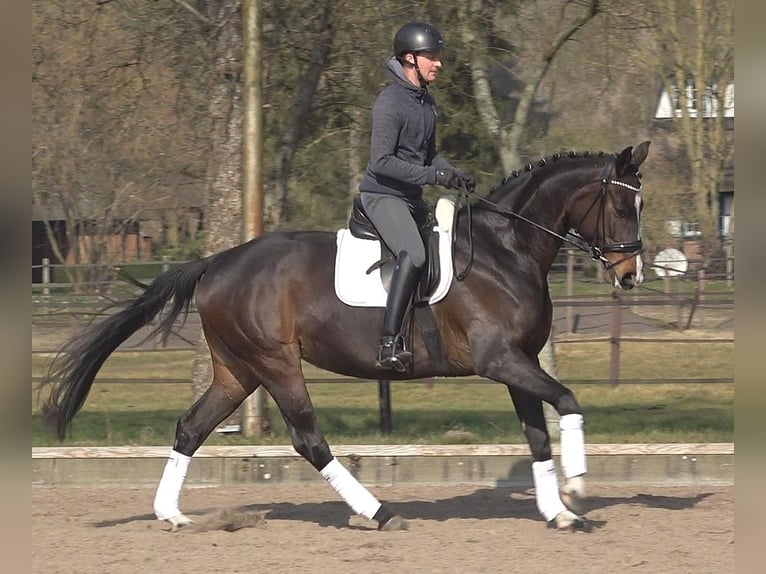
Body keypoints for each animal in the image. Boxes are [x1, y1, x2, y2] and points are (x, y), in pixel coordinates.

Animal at [42, 142, 652, 532]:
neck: (507, 249)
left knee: (191, 427)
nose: (631, 275)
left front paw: (559, 511)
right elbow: (567, 402)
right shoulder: (498, 358)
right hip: (275, 363)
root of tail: (216, 262)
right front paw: (577, 486)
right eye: (623, 205)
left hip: (238, 370)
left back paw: (171, 514)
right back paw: (379, 513)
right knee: (308, 440)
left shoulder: (517, 361)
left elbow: (537, 436)